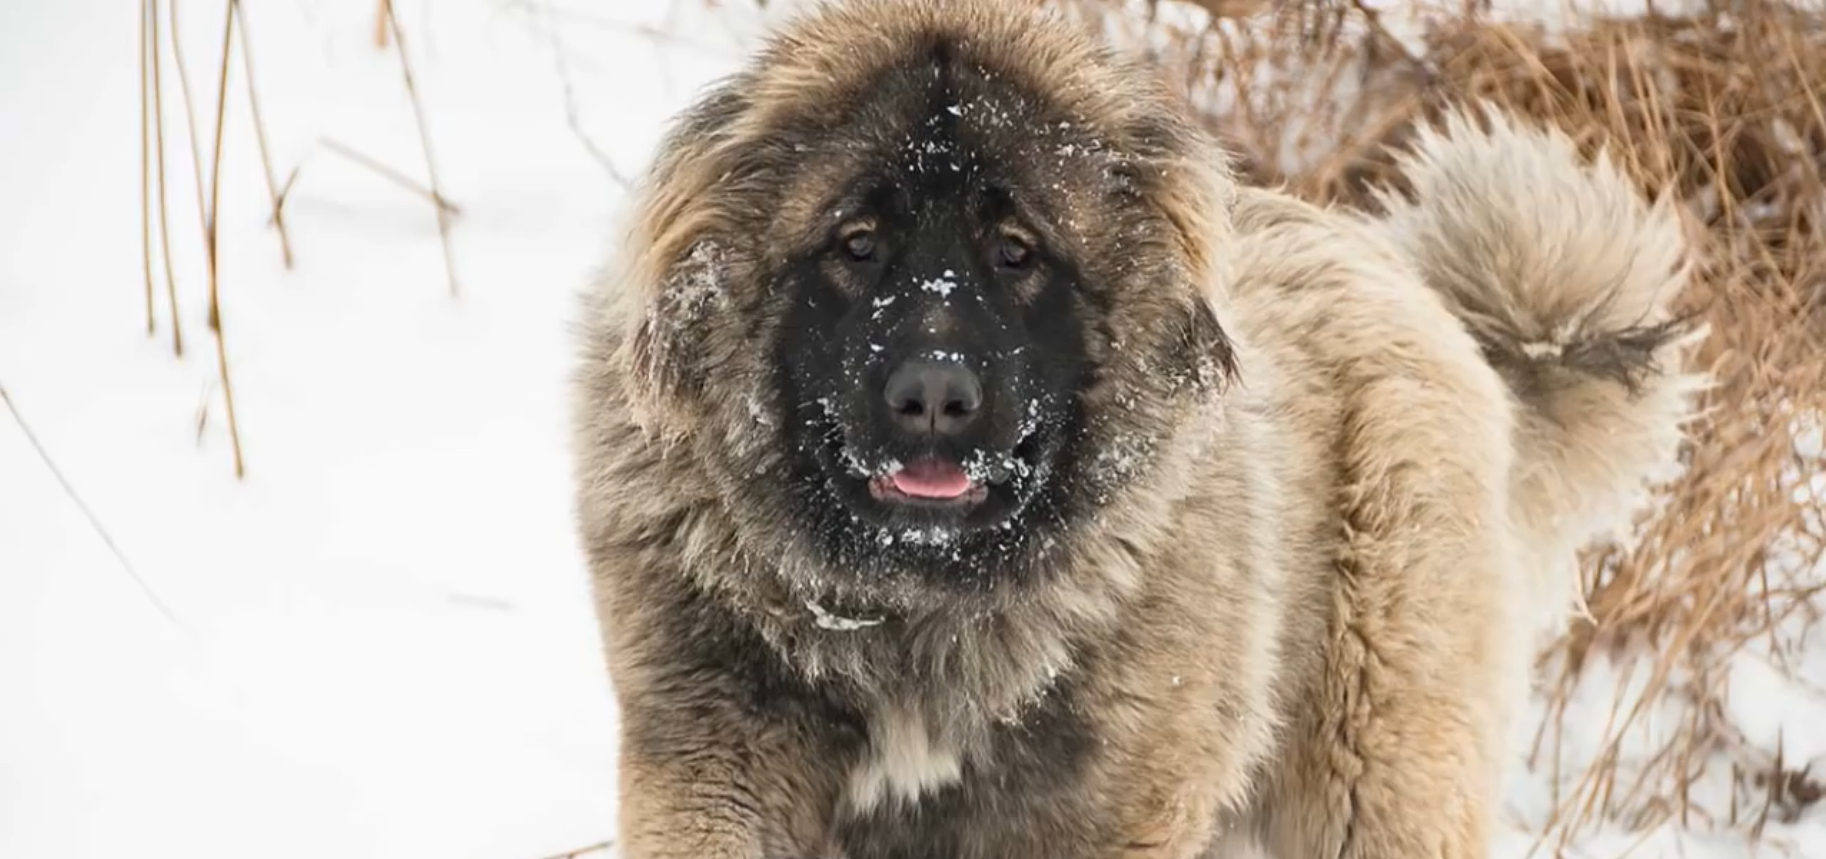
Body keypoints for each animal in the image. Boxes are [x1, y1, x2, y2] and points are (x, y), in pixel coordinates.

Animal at [566, 0, 1709, 851]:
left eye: (1016, 250)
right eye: (856, 242)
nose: (933, 395)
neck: (919, 618)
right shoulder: (713, 759)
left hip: (1375, 777)